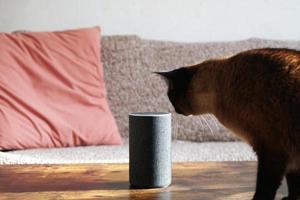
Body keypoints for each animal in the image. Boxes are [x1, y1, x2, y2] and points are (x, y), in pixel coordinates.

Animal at [157, 48, 300, 200]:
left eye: (171, 98)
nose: (175, 110)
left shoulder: (272, 150)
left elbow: (265, 187)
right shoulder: (288, 157)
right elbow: (293, 184)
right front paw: (290, 199)